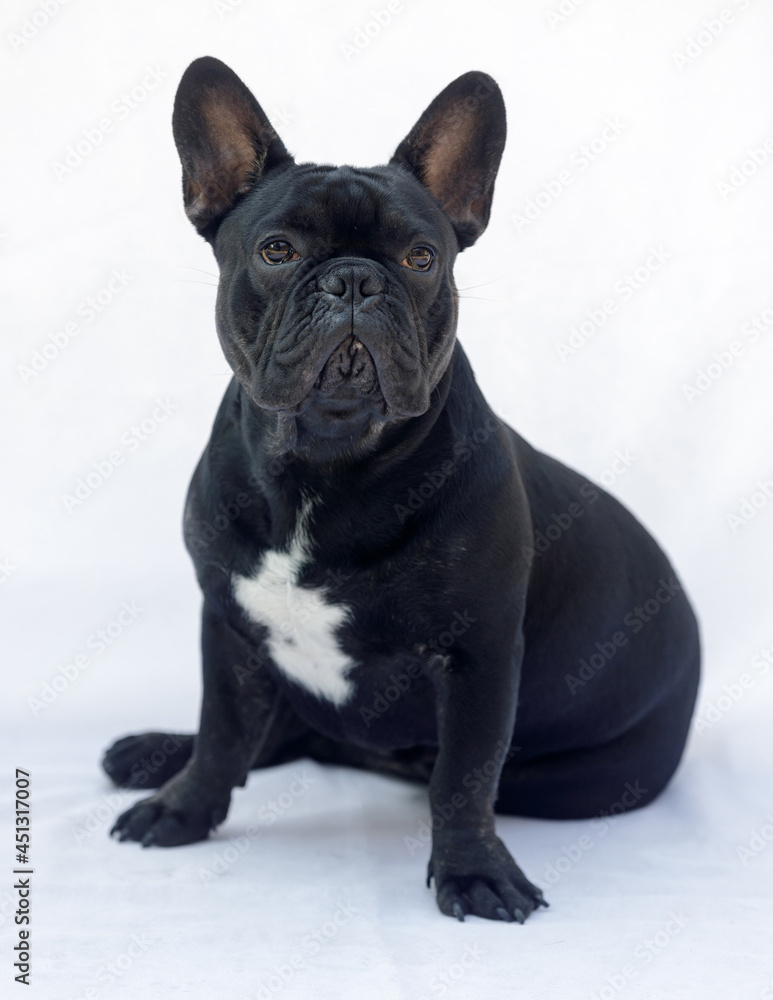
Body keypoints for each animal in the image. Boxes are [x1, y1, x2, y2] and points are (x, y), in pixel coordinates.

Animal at [102, 56, 700, 920]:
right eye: (276, 250)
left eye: (421, 259)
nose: (355, 279)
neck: (322, 461)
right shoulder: (227, 625)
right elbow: (221, 730)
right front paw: (183, 809)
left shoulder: (478, 655)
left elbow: (463, 778)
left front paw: (473, 872)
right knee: (282, 734)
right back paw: (154, 755)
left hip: (575, 779)